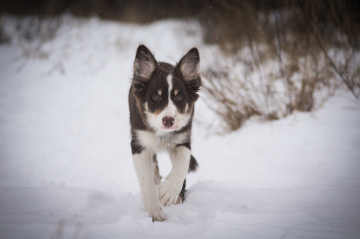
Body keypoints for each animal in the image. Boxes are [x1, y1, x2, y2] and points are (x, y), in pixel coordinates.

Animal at [129, 45, 201, 221]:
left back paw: (178, 197)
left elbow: (182, 164)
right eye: (155, 97)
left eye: (179, 97)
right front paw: (155, 211)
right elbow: (145, 179)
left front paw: (169, 193)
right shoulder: (139, 143)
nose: (168, 121)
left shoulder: (182, 138)